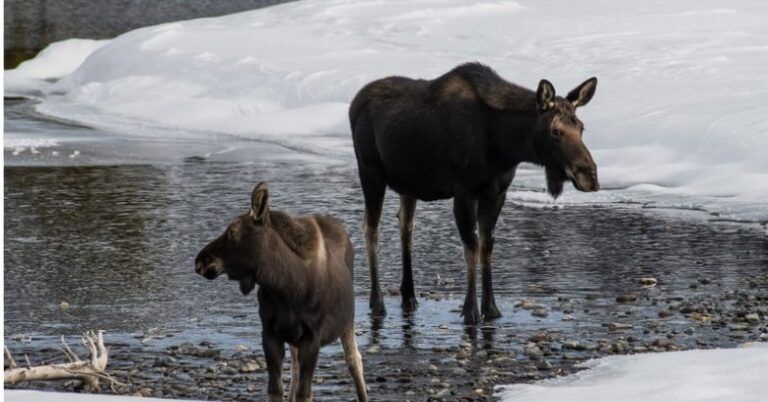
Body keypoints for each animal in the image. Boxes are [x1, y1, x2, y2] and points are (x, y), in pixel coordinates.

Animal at [350, 63, 600, 326]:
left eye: (581, 128)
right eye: (555, 131)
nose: (590, 175)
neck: (506, 147)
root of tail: (353, 103)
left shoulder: (497, 192)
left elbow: (487, 246)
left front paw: (491, 309)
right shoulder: (464, 191)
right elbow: (471, 245)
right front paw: (470, 310)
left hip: (408, 185)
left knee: (406, 226)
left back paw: (409, 296)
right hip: (370, 172)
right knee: (371, 229)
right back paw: (377, 303)